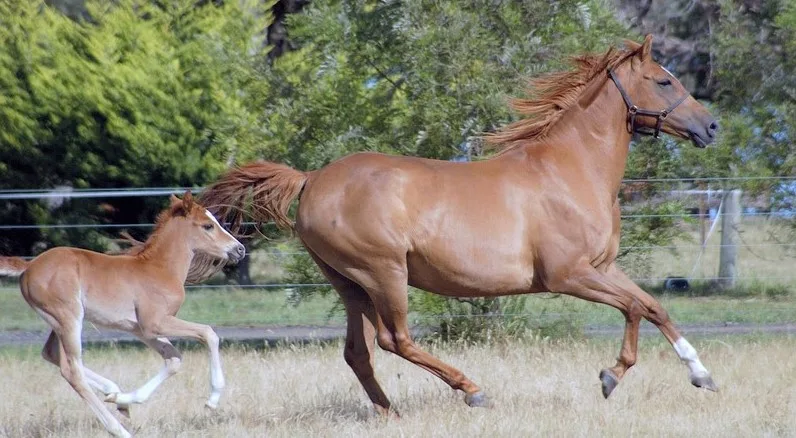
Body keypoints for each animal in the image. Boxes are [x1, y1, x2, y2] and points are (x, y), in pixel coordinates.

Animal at [0, 193, 246, 438]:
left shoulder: (140, 329)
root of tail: (29, 266)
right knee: (71, 371)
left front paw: (123, 400)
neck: (160, 268)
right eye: (208, 226)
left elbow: (174, 359)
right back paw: (118, 430)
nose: (240, 249)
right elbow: (208, 333)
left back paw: (113, 392)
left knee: (51, 354)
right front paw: (213, 399)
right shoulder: (155, 323)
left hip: (58, 321)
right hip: (68, 318)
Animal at [202, 35, 720, 414]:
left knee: (358, 352)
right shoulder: (568, 275)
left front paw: (702, 375)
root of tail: (311, 179)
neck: (569, 169)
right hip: (384, 273)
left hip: (349, 283)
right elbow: (633, 309)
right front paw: (610, 377)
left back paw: (390, 412)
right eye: (663, 81)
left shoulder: (603, 268)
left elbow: (654, 307)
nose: (712, 127)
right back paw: (472, 390)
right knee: (395, 340)